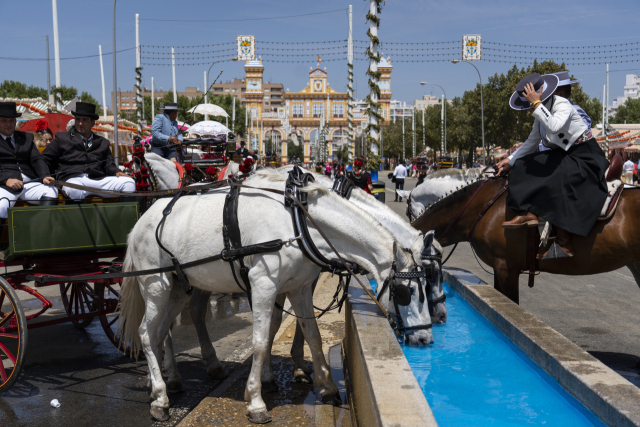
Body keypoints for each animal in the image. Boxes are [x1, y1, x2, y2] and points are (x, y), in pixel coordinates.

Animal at [119, 171, 430, 424]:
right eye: (406, 292)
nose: (425, 337)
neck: (300, 222)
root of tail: (140, 222)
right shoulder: (263, 285)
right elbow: (259, 340)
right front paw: (257, 399)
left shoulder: (300, 287)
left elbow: (312, 334)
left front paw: (326, 386)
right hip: (156, 285)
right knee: (146, 333)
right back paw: (161, 398)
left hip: (179, 287)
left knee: (161, 332)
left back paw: (160, 383)